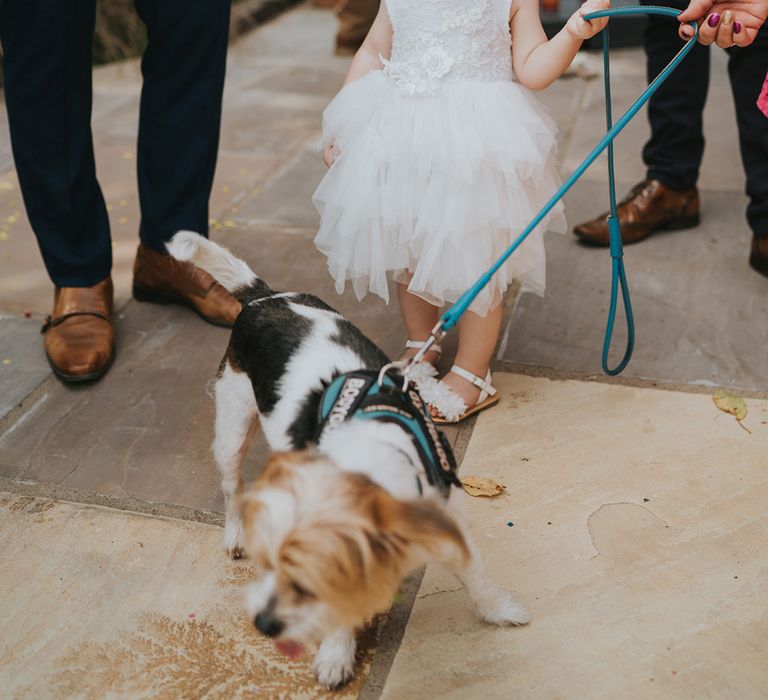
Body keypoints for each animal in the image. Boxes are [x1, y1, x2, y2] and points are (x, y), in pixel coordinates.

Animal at [166, 231, 528, 688]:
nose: (263, 625)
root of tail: (264, 296)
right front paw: (336, 654)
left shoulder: (446, 515)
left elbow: (475, 573)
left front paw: (497, 609)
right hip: (232, 427)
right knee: (233, 487)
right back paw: (234, 534)